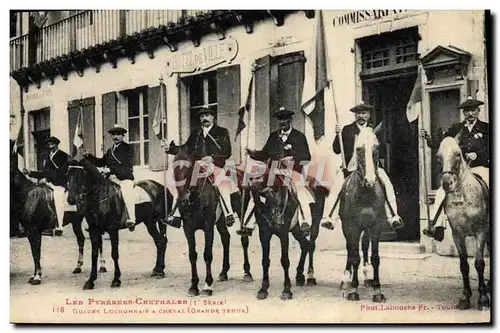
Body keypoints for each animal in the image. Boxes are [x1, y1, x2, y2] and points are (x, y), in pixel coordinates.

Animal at [66, 156, 170, 288]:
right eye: (67, 175)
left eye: (79, 175)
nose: (71, 200)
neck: (100, 197)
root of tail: (161, 187)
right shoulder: (94, 230)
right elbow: (94, 255)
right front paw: (90, 281)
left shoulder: (113, 230)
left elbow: (114, 254)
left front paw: (116, 279)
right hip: (150, 223)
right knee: (159, 242)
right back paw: (157, 269)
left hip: (161, 221)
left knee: (162, 241)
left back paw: (160, 271)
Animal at [340, 126, 386, 300]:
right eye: (358, 149)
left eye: (377, 147)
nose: (370, 180)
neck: (366, 193)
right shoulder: (352, 226)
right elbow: (354, 257)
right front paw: (353, 289)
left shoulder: (376, 226)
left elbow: (375, 257)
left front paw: (377, 290)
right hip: (346, 227)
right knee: (349, 249)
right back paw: (346, 280)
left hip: (365, 228)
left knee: (365, 246)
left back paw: (367, 277)